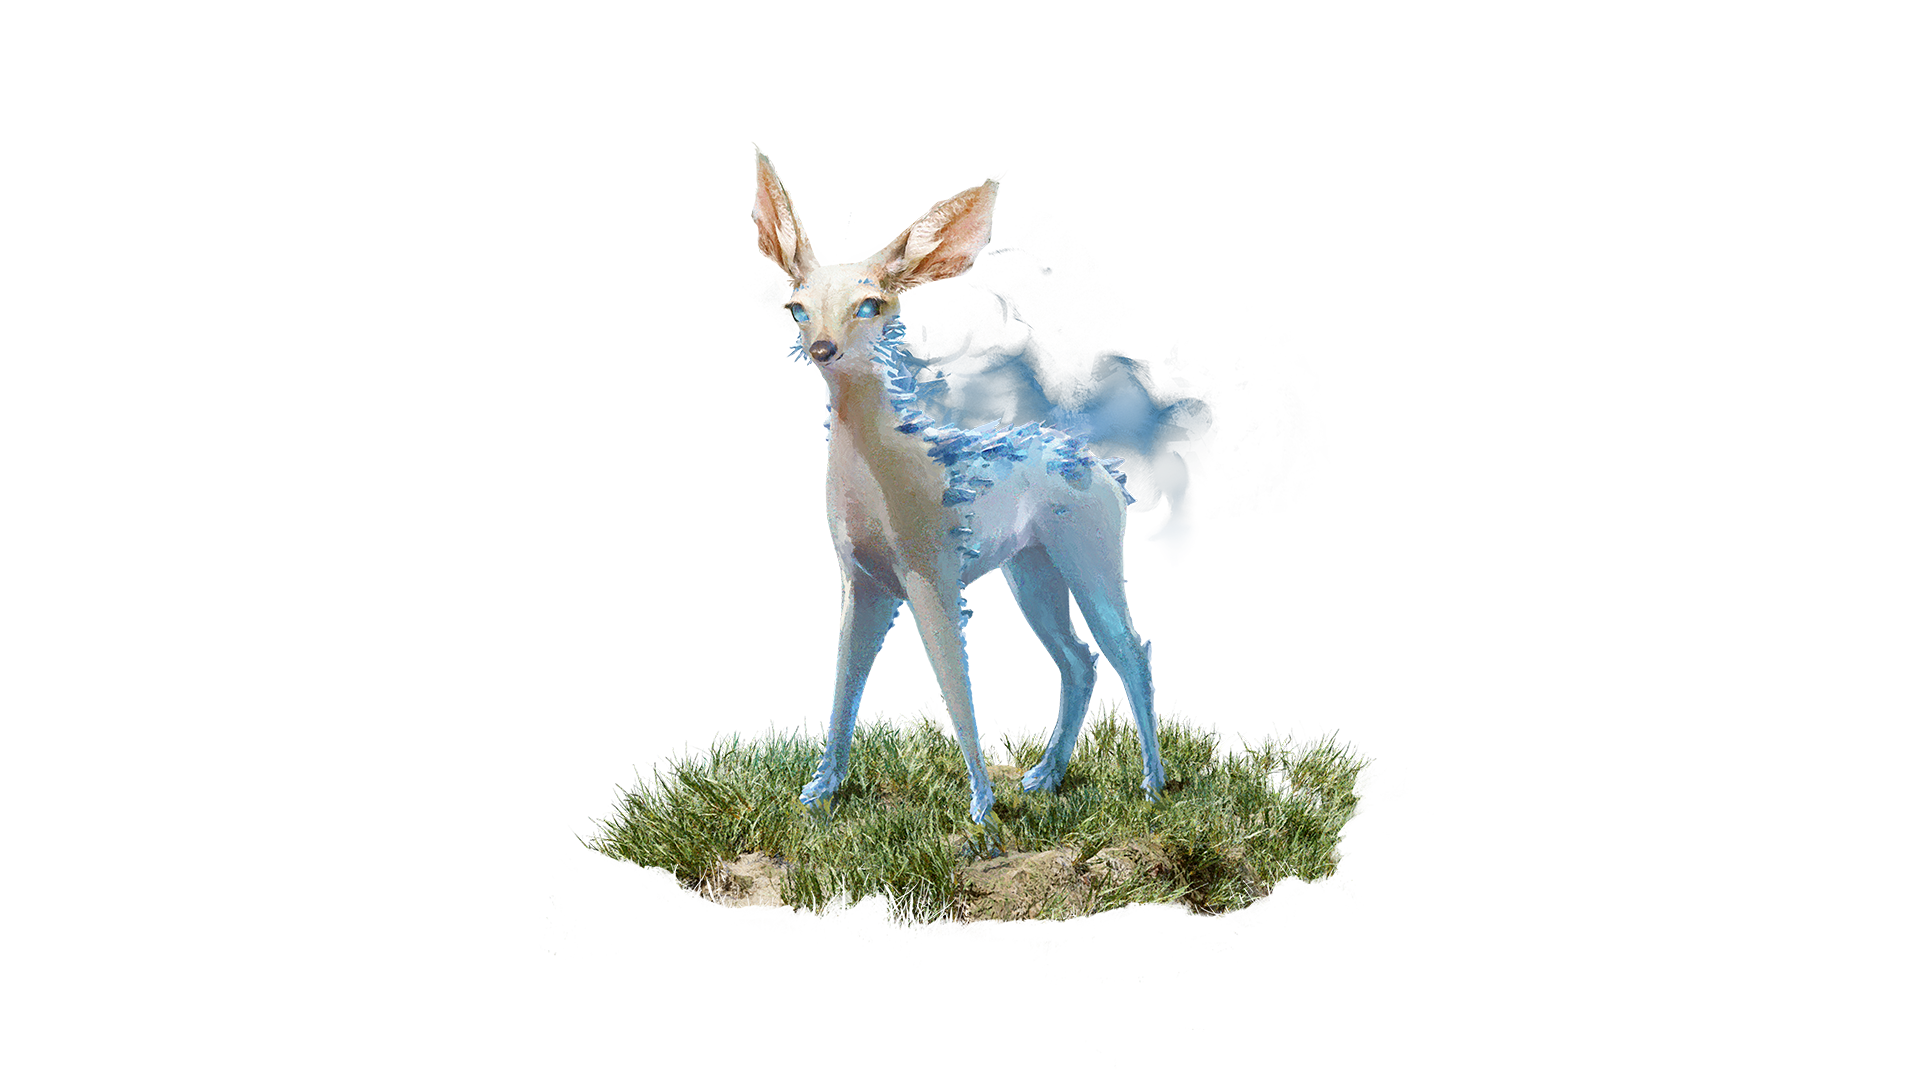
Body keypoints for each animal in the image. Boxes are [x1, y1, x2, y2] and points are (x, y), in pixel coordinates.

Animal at [754, 154, 1164, 831]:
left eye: (870, 305)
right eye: (798, 306)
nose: (822, 349)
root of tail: (1103, 468)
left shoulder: (933, 577)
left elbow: (952, 683)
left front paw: (980, 808)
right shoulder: (861, 580)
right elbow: (843, 686)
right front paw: (820, 791)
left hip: (1089, 554)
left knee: (1128, 649)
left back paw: (1154, 787)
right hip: (1031, 570)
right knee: (1079, 659)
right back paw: (1045, 776)